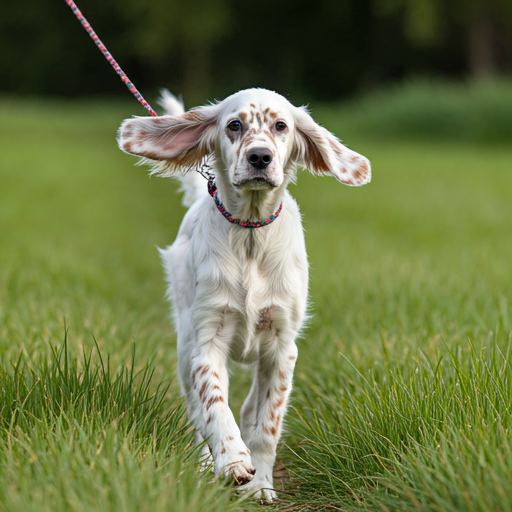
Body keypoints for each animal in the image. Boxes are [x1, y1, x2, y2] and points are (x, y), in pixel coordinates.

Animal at [118, 89, 370, 500]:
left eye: (281, 126)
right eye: (234, 125)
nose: (260, 157)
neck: (250, 232)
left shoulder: (282, 348)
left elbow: (267, 424)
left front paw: (260, 485)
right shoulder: (206, 342)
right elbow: (215, 407)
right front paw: (233, 461)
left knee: (252, 406)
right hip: (185, 342)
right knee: (195, 412)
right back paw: (206, 463)